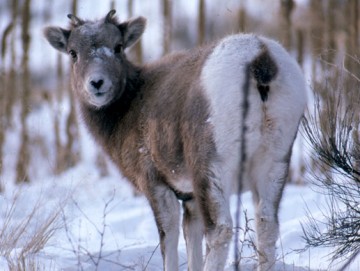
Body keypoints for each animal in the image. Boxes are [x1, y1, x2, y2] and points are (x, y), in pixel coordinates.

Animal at [43, 10, 306, 271]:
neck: (129, 107)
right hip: (274, 163)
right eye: (73, 52)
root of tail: (260, 58)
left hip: (213, 169)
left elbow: (168, 236)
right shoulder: (190, 198)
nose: (96, 83)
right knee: (267, 225)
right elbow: (192, 242)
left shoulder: (156, 184)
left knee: (220, 231)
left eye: (118, 47)